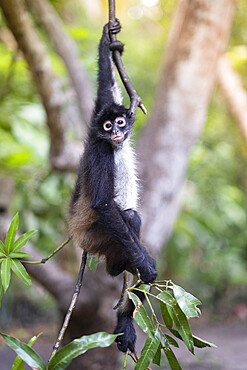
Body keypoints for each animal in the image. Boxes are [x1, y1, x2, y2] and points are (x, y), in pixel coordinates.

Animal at [68, 20, 156, 352]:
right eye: (108, 126)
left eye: (119, 122)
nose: (117, 132)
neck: (112, 145)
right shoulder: (101, 150)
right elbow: (104, 204)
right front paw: (145, 264)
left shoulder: (100, 117)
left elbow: (105, 91)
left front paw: (108, 38)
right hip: (96, 238)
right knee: (130, 217)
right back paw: (118, 269)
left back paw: (124, 319)